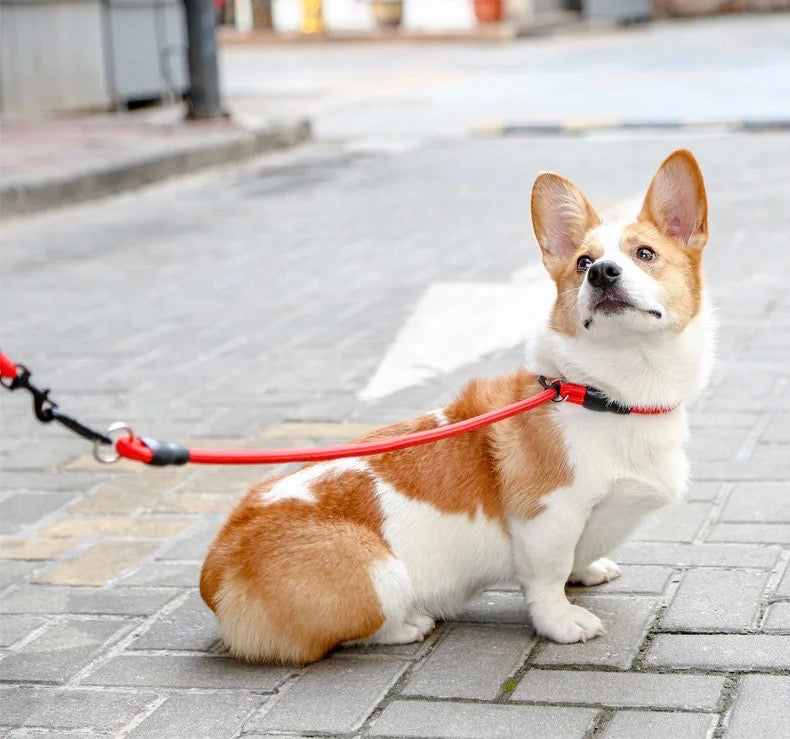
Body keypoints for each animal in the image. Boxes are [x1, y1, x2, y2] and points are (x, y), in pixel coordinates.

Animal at [200, 149, 714, 664]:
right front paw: (563, 621)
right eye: (583, 262)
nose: (601, 272)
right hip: (378, 571)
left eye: (645, 254)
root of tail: (215, 569)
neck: (608, 392)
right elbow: (547, 579)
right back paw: (409, 624)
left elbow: (577, 558)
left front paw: (587, 572)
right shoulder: (549, 518)